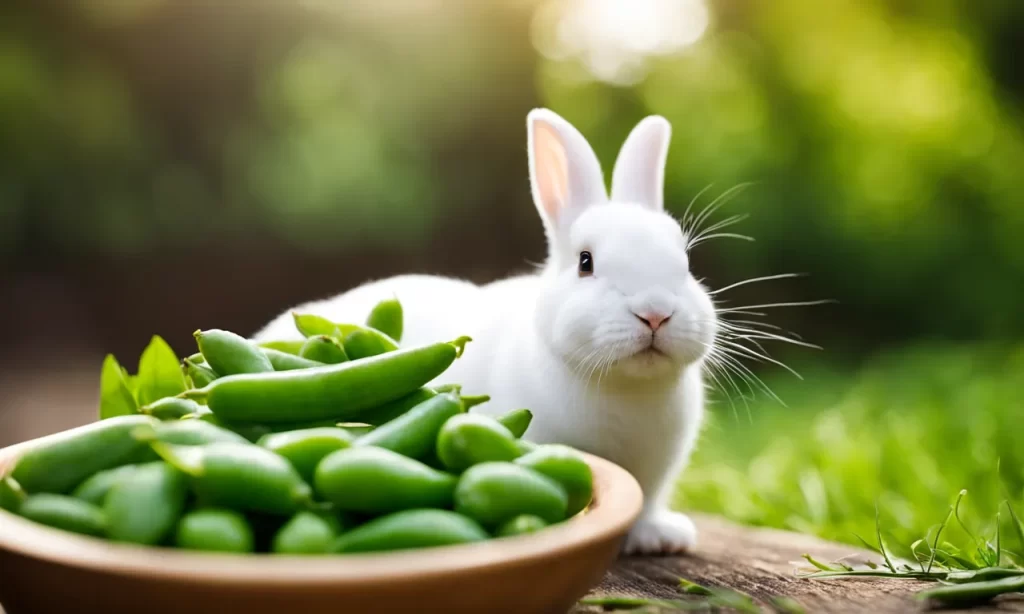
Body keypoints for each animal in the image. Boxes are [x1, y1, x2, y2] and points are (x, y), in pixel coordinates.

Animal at [252, 109, 718, 555]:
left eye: (686, 263)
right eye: (585, 262)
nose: (655, 313)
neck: (626, 387)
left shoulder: (655, 475)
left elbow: (648, 503)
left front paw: (661, 537)